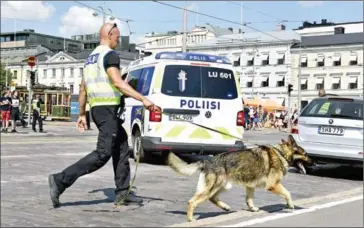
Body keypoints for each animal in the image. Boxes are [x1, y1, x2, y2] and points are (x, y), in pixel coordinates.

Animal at [168, 135, 312, 221]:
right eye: (305, 154)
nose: (313, 162)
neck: (281, 153)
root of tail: (208, 161)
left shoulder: (250, 186)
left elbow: (249, 200)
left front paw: (252, 209)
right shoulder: (273, 185)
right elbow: (288, 193)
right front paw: (290, 205)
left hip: (223, 186)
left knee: (212, 198)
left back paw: (225, 207)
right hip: (215, 187)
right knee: (192, 202)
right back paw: (191, 219)